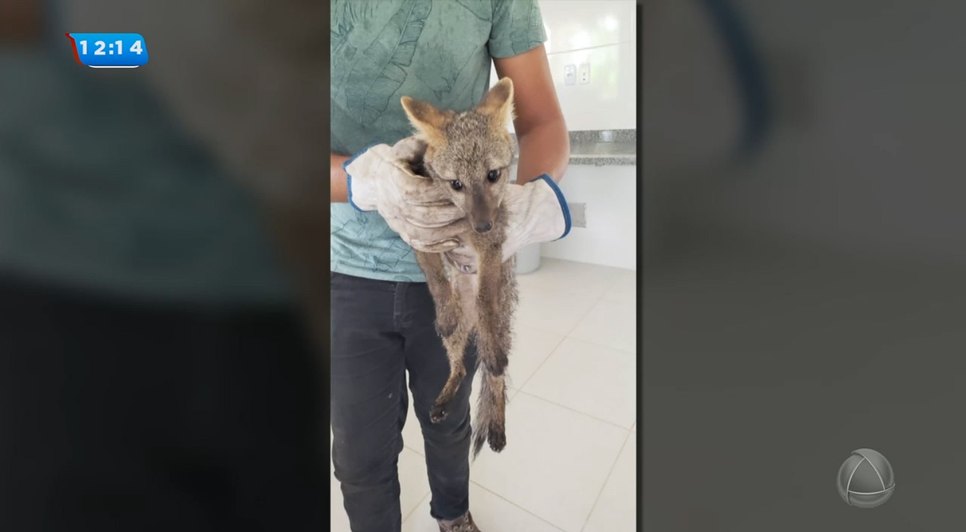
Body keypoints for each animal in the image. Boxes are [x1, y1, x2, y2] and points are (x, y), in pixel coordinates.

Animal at [399, 77, 518, 457]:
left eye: (493, 175)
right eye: (456, 184)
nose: (482, 225)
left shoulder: (492, 248)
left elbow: (485, 298)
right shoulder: (421, 238)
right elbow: (437, 281)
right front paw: (446, 307)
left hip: (501, 328)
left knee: (496, 374)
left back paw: (497, 426)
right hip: (450, 339)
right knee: (462, 367)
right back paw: (444, 397)